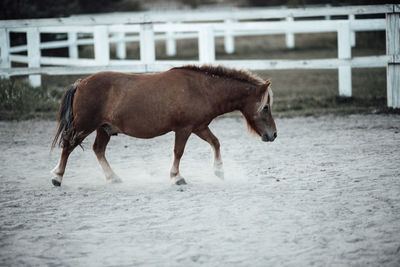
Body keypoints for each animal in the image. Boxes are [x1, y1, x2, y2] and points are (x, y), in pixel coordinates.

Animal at [50, 65, 276, 186]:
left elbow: (216, 143)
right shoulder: (184, 129)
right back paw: (57, 177)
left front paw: (219, 171)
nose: (273, 135)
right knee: (68, 146)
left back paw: (113, 178)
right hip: (84, 126)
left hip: (103, 129)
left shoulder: (199, 127)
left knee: (98, 150)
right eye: (265, 107)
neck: (200, 89)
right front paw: (177, 177)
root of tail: (81, 83)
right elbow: (178, 152)